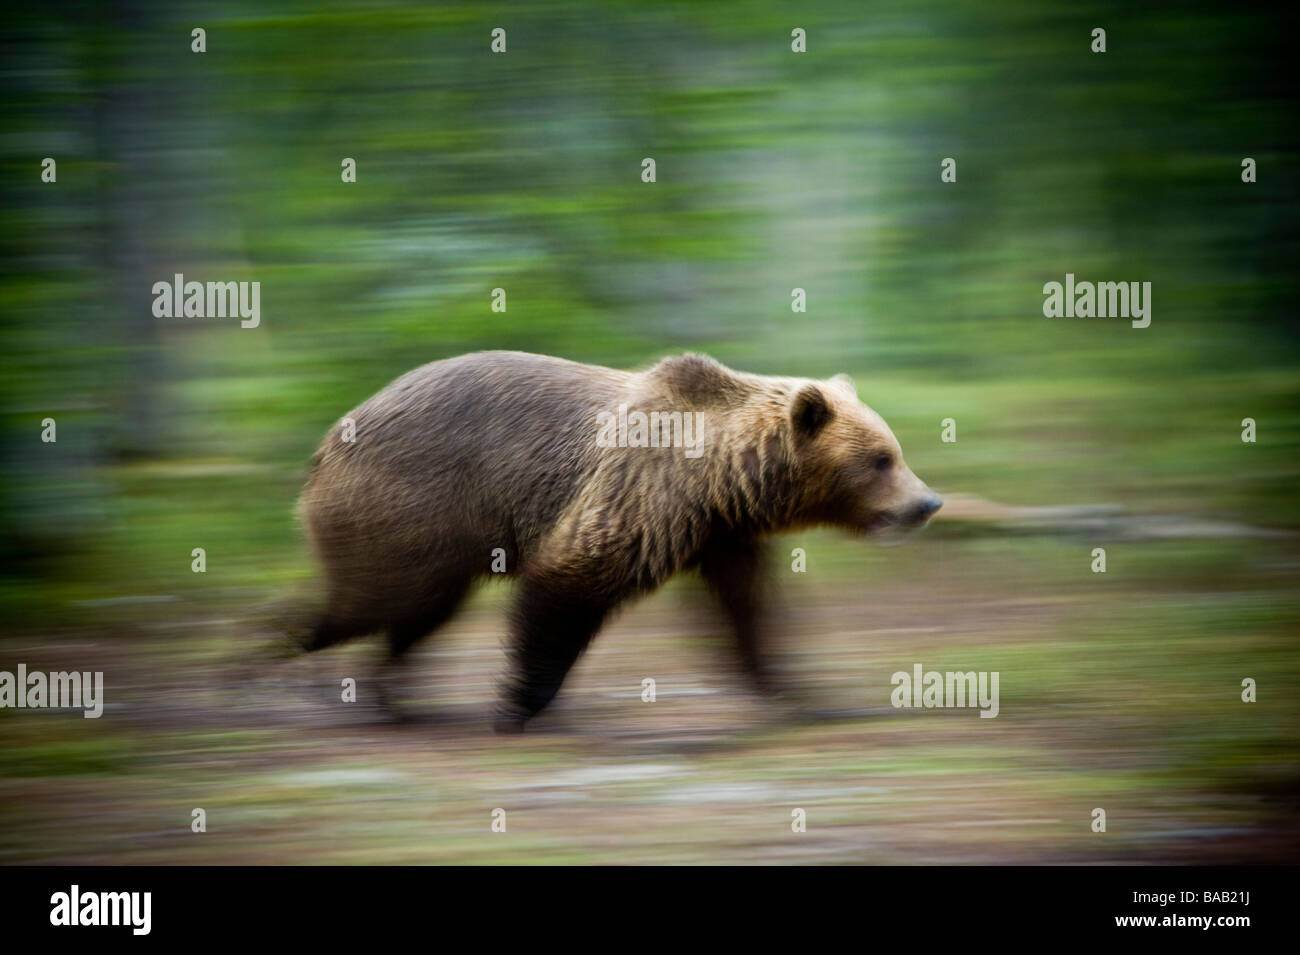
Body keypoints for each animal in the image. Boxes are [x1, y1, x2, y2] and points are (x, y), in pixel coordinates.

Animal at [294, 350, 941, 731]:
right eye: (882, 459)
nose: (927, 503)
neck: (721, 476)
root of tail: (327, 441)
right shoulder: (639, 492)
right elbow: (570, 580)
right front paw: (521, 701)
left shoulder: (720, 531)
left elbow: (747, 608)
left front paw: (797, 690)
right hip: (414, 504)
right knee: (371, 600)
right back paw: (296, 650)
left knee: (415, 611)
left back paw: (390, 693)